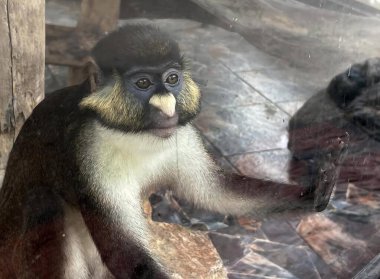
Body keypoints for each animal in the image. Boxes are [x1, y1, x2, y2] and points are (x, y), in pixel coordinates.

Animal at [0, 24, 346, 279]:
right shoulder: (86, 151)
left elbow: (216, 192)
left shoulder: (183, 134)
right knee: (43, 200)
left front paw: (318, 191)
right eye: (142, 83)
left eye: (172, 79)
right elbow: (123, 249)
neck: (131, 134)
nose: (167, 106)